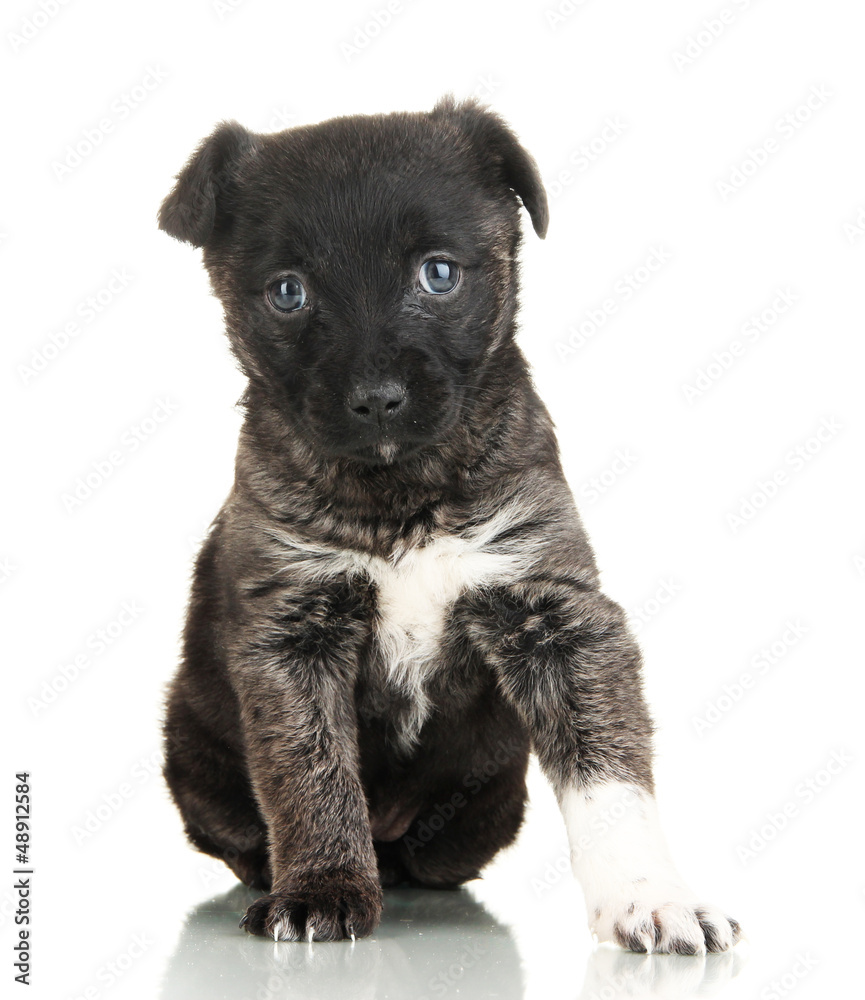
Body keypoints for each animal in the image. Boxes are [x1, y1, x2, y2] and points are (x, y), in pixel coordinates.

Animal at [159, 95, 740, 952]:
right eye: (287, 292)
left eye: (437, 273)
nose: (376, 398)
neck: (401, 495)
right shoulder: (292, 636)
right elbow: (310, 772)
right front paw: (321, 887)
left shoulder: (552, 614)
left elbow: (607, 781)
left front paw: (652, 899)